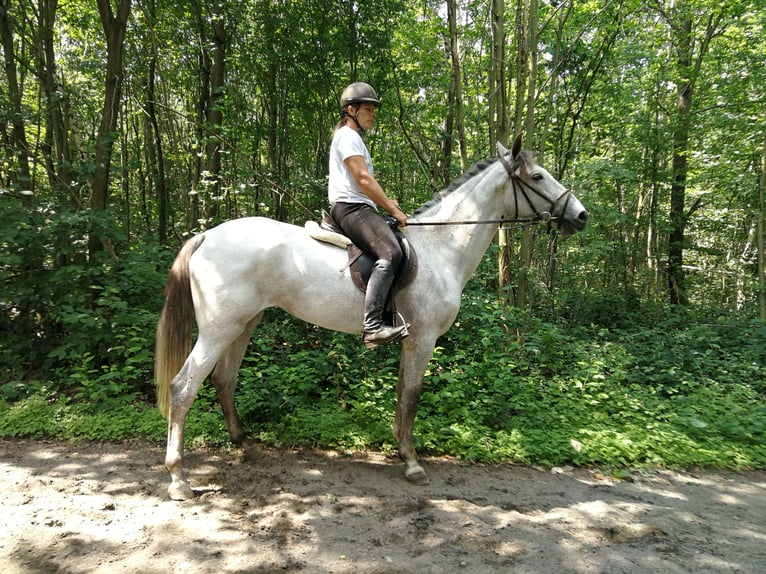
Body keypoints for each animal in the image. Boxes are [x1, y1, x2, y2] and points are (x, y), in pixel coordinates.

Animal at [154, 134, 588, 500]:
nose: (581, 216)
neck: (442, 246)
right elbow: (411, 397)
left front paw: (401, 450)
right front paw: (412, 463)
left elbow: (401, 395)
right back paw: (178, 479)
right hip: (218, 329)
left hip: (243, 325)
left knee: (224, 380)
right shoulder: (423, 339)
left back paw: (244, 444)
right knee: (183, 388)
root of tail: (207, 236)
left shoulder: (413, 340)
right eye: (537, 176)